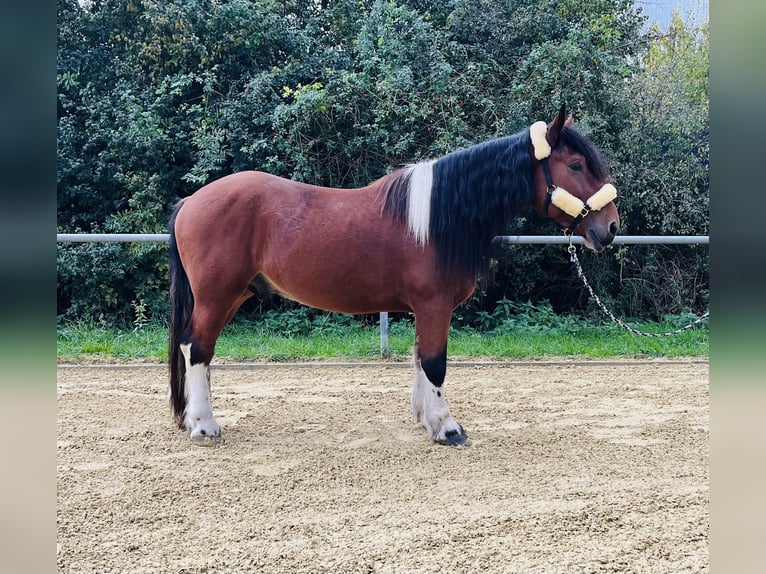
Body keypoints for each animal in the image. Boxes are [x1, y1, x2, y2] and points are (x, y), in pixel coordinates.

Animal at [167, 106, 620, 447]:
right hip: (217, 297)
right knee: (197, 348)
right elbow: (435, 362)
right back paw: (204, 425)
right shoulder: (434, 305)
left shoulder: (426, 309)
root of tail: (191, 201)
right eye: (576, 164)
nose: (611, 228)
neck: (440, 217)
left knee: (198, 350)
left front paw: (427, 420)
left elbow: (420, 358)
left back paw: (193, 419)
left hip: (233, 296)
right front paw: (448, 428)